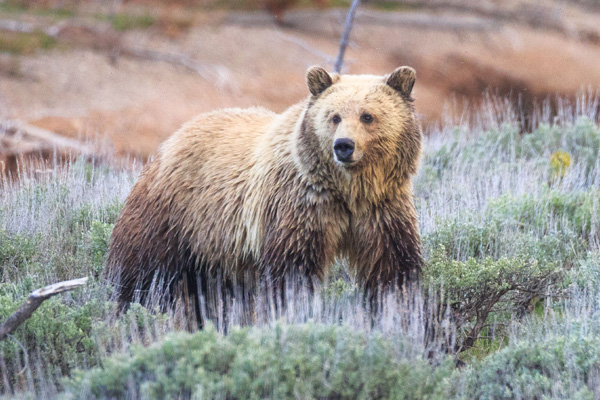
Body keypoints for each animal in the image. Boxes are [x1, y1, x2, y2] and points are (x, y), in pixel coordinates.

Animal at [108, 65, 424, 326]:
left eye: (367, 116)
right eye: (334, 116)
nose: (343, 145)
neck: (348, 190)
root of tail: (172, 138)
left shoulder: (382, 208)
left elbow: (392, 266)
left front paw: (397, 311)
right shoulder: (301, 204)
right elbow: (293, 271)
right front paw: (294, 311)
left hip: (217, 250)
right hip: (174, 215)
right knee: (143, 273)